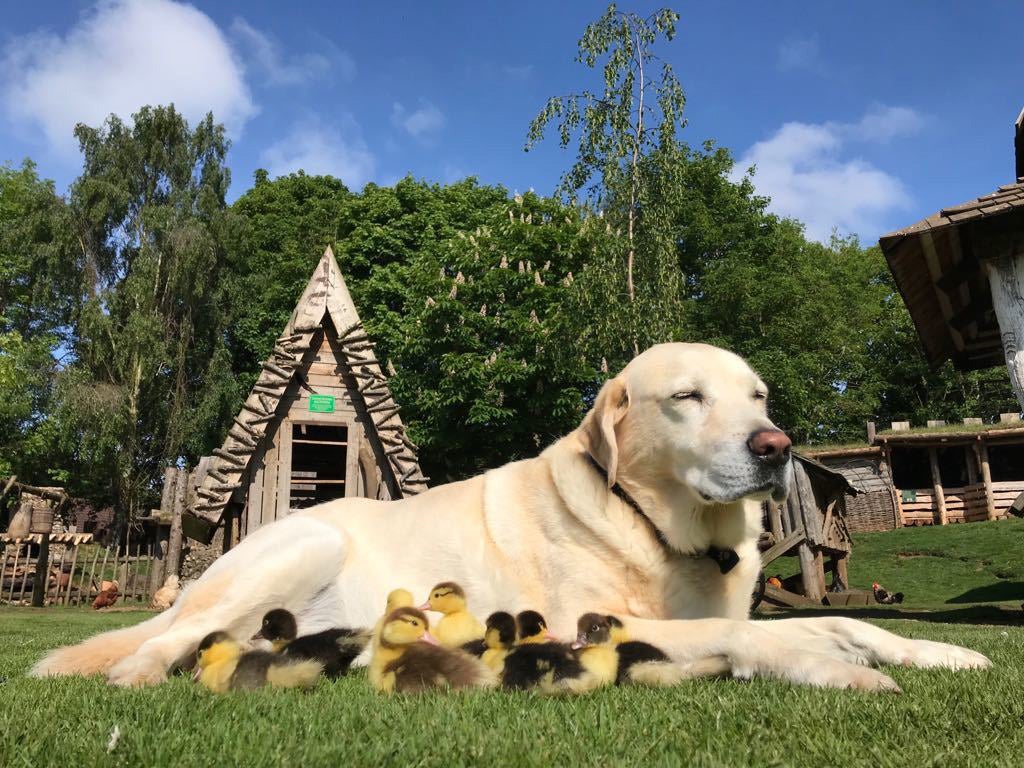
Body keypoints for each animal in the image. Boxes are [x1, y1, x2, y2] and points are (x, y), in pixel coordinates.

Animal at [34, 342, 991, 692]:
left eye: (757, 395)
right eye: (687, 398)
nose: (775, 445)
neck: (667, 532)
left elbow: (843, 619)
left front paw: (937, 652)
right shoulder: (585, 620)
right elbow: (762, 634)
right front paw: (827, 665)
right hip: (301, 540)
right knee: (161, 645)